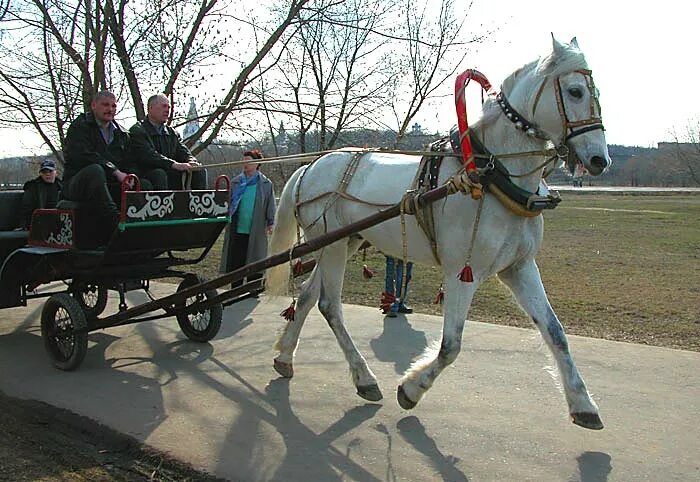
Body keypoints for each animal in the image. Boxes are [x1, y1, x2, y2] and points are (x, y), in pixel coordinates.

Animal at [266, 37, 608, 430]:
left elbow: (555, 332)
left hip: (343, 243)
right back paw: (364, 377)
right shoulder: (462, 272)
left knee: (308, 297)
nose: (600, 160)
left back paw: (286, 357)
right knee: (328, 305)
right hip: (333, 244)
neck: (493, 176)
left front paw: (583, 402)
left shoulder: (519, 268)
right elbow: (451, 346)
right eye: (575, 91)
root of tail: (311, 166)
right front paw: (412, 388)